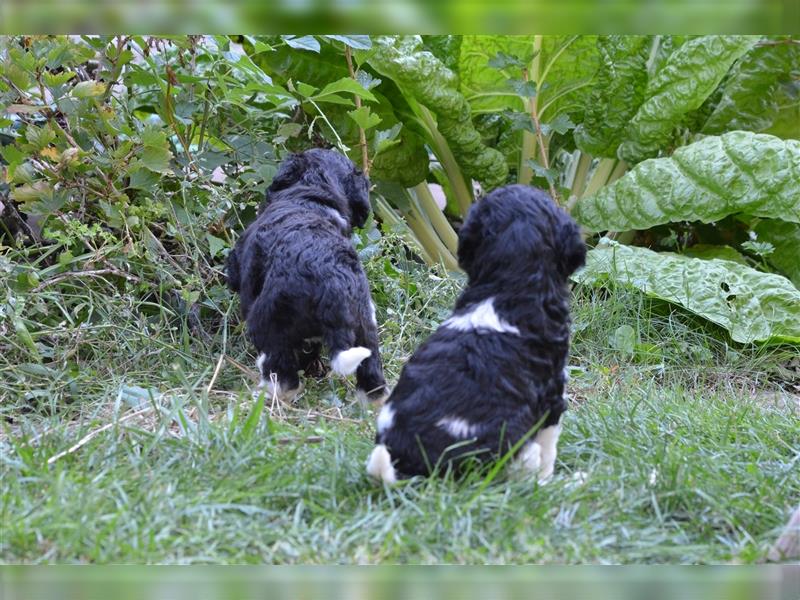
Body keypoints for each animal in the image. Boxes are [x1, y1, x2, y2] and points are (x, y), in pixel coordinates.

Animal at [225, 149, 388, 404]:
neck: (311, 196)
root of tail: (333, 279)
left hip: (268, 319)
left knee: (282, 373)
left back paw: (268, 395)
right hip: (364, 322)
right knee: (371, 372)